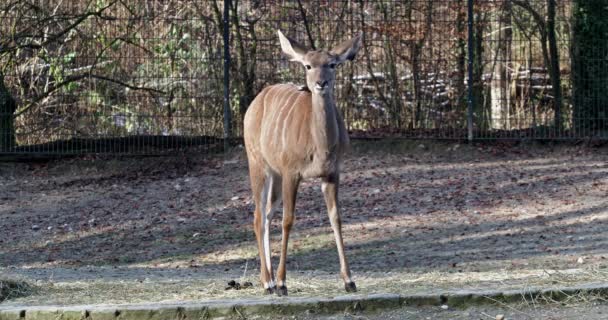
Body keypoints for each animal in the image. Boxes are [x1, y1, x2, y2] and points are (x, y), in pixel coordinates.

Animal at [242, 30, 360, 298]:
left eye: (332, 64)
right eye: (308, 65)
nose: (321, 83)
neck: (319, 146)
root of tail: (254, 104)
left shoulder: (332, 173)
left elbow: (336, 218)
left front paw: (349, 281)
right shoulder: (291, 172)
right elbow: (288, 220)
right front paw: (283, 283)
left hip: (274, 174)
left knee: (266, 214)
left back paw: (268, 279)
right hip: (258, 164)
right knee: (258, 216)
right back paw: (268, 282)